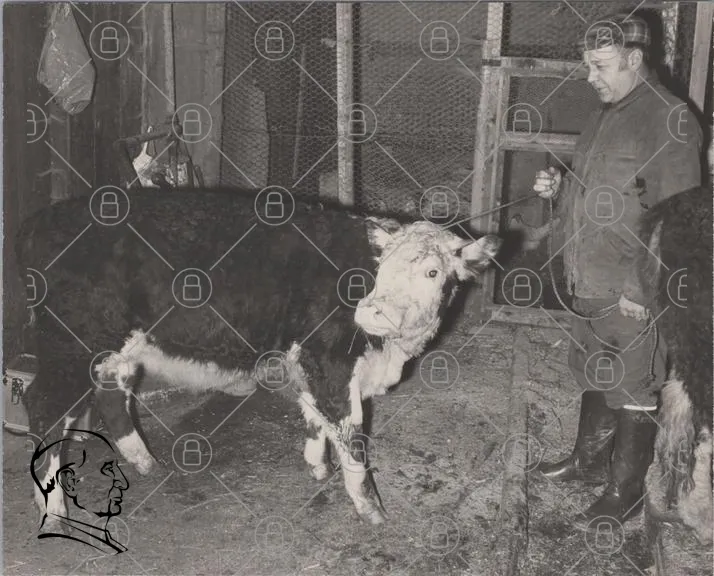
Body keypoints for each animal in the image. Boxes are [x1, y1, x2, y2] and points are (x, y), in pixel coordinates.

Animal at [17, 187, 502, 530]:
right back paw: (54, 508)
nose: (374, 310)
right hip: (71, 341)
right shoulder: (330, 362)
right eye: (382, 271)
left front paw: (317, 465)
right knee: (44, 403)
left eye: (433, 272)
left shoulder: (311, 363)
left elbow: (315, 416)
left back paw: (144, 461)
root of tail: (45, 218)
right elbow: (352, 436)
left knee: (111, 393)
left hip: (114, 345)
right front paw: (370, 507)